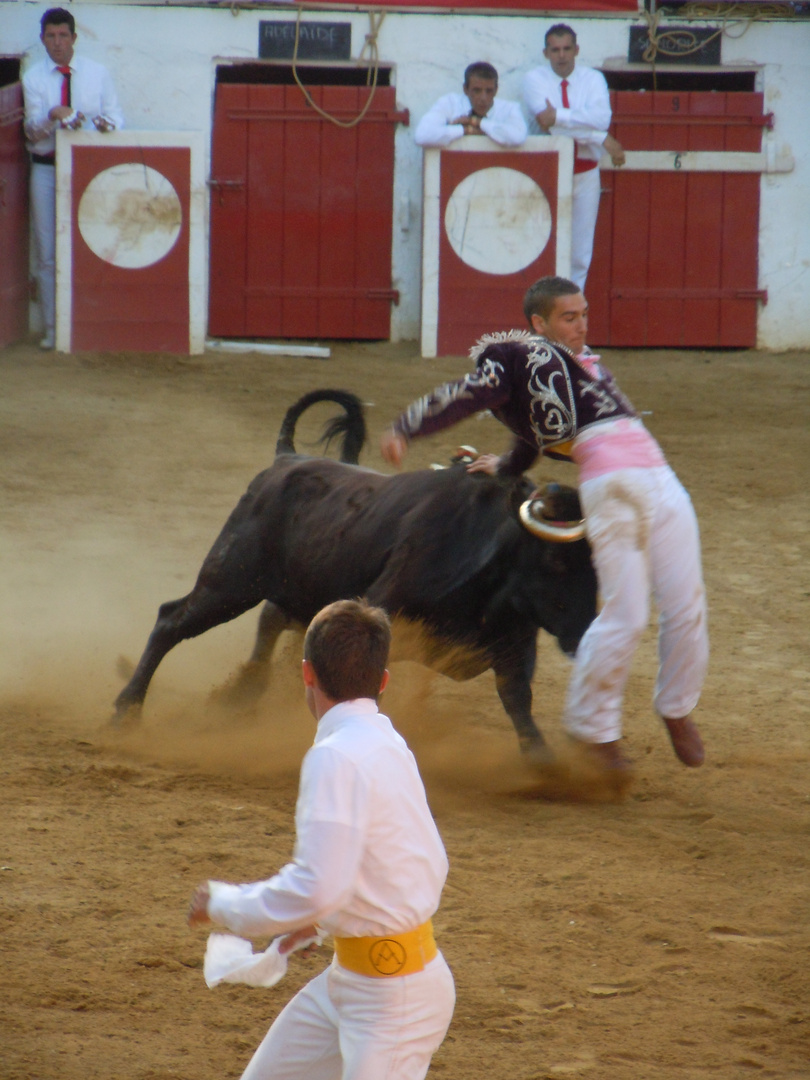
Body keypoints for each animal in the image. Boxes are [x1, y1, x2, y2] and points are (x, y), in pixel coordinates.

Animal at [112, 390, 596, 760]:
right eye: (556, 563)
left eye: (596, 565)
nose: (583, 633)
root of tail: (285, 458)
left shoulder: (515, 640)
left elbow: (517, 697)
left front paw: (543, 762)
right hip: (229, 580)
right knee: (172, 619)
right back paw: (127, 710)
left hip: (289, 587)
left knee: (269, 621)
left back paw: (239, 696)